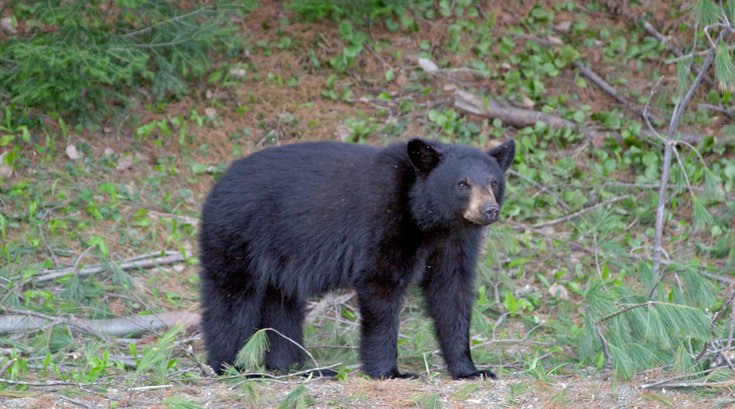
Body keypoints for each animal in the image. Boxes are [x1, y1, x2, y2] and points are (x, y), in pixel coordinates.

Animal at [198, 137, 515, 379]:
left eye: (493, 182)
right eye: (462, 184)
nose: (489, 210)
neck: (430, 220)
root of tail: (219, 183)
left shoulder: (454, 243)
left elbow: (452, 293)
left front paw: (471, 370)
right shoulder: (384, 222)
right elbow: (381, 285)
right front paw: (390, 372)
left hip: (280, 257)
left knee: (282, 303)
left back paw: (298, 367)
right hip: (240, 235)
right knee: (232, 298)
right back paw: (235, 367)